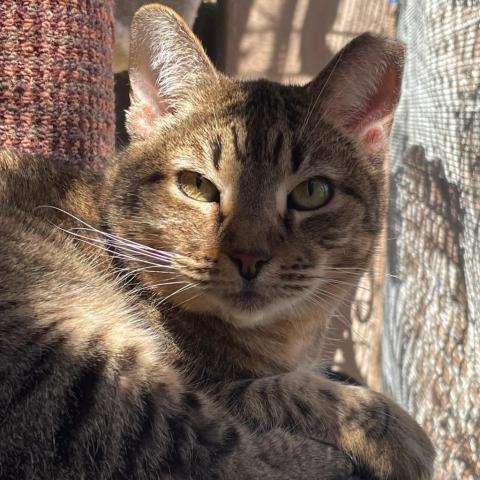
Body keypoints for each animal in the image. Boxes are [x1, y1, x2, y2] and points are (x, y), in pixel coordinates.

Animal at [0, 3, 436, 480]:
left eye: (312, 192)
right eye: (196, 186)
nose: (249, 256)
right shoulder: (206, 384)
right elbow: (280, 391)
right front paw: (392, 426)